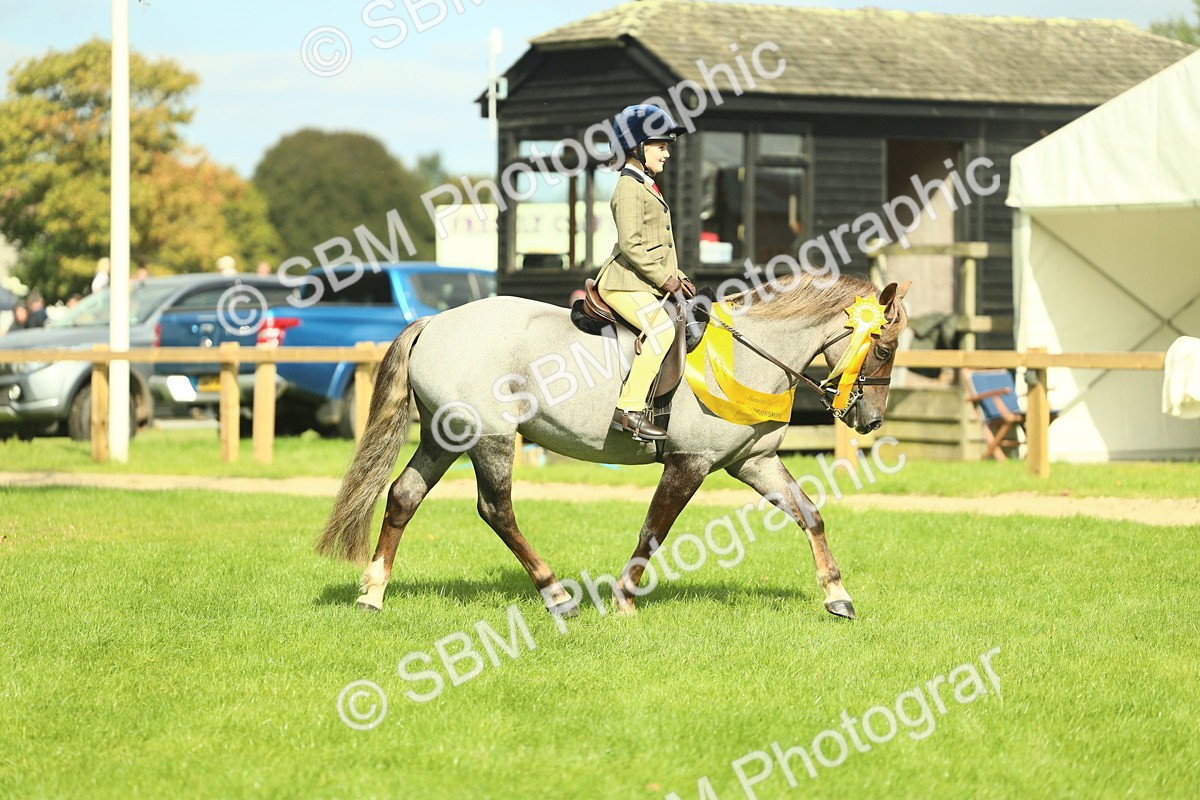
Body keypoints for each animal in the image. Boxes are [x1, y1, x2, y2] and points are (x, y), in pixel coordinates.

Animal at [316, 273, 911, 620]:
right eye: (883, 347)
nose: (871, 420)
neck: (750, 353)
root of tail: (435, 322)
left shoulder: (753, 462)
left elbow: (810, 514)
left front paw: (837, 595)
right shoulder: (689, 463)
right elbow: (653, 531)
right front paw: (624, 599)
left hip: (446, 438)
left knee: (403, 496)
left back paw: (372, 593)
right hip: (489, 438)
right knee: (496, 509)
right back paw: (556, 595)